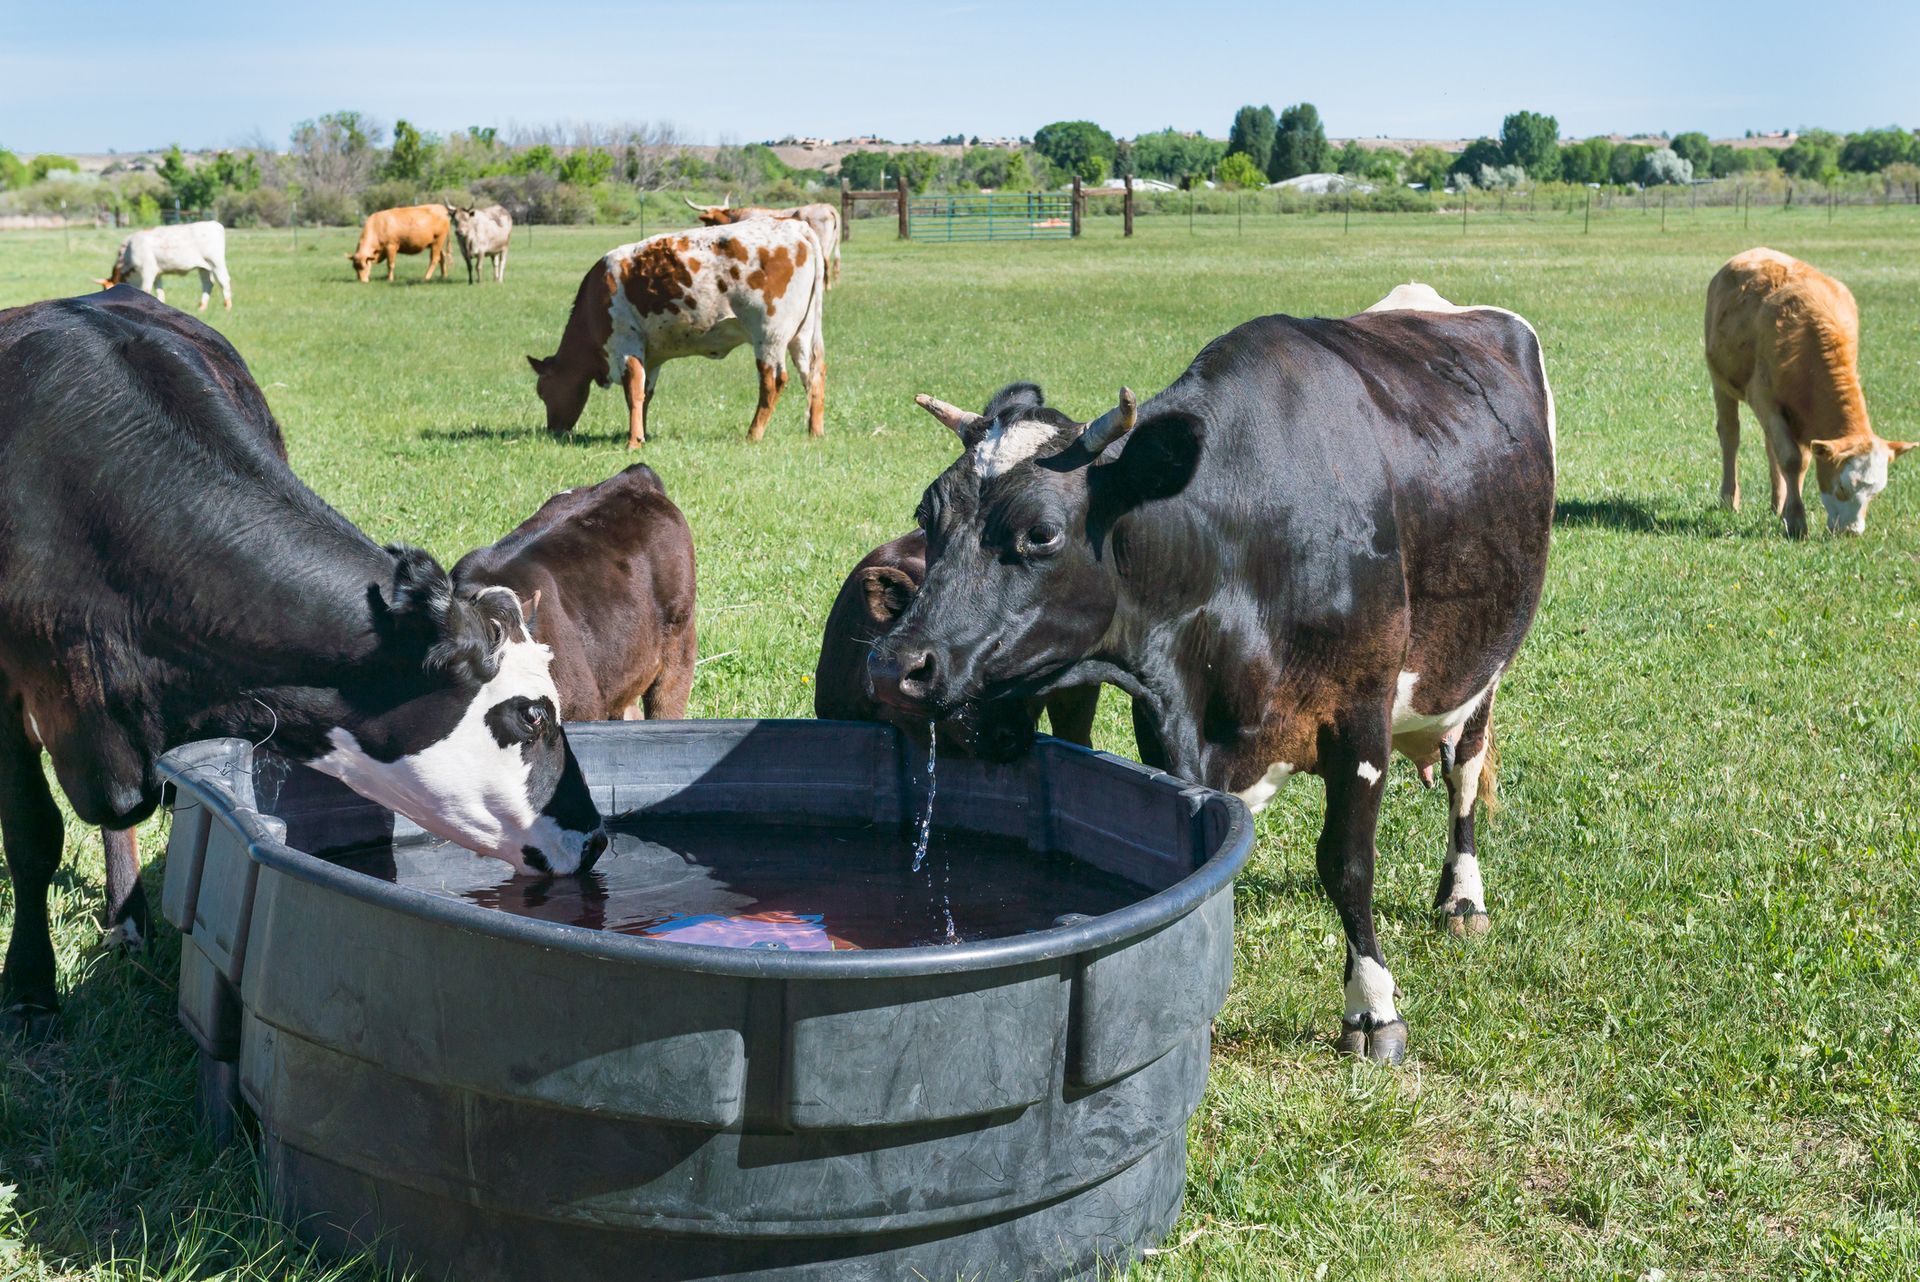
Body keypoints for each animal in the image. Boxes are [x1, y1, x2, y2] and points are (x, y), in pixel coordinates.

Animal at [97, 221, 232, 312]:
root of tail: (213, 223)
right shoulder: (157, 273)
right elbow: (159, 291)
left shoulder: (148, 270)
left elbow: (146, 289)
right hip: (204, 267)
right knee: (207, 283)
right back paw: (202, 307)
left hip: (216, 262)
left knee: (224, 281)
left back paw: (228, 307)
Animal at [527, 219, 826, 448]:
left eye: (542, 391)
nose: (553, 430)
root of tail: (795, 226)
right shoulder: (652, 356)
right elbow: (645, 393)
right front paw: (641, 433)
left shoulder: (625, 343)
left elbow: (633, 391)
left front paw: (633, 442)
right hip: (802, 333)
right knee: (813, 373)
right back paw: (815, 431)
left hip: (769, 334)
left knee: (773, 381)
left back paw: (753, 434)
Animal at [868, 284, 1557, 1063]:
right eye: (927, 512)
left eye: (1040, 532)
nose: (897, 665)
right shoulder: (1168, 716)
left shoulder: (1360, 712)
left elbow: (1347, 863)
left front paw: (1373, 1008)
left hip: (1481, 666)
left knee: (1465, 773)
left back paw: (1461, 898)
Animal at [1705, 248, 1915, 537]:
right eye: (1842, 486)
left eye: (1875, 493)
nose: (1851, 532)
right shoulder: (1765, 400)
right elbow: (1792, 459)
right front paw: (1795, 519)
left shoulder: (1801, 412)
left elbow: (1799, 459)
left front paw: (1786, 511)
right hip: (1720, 382)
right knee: (1730, 436)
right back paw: (1729, 499)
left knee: (1770, 447)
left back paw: (1776, 502)